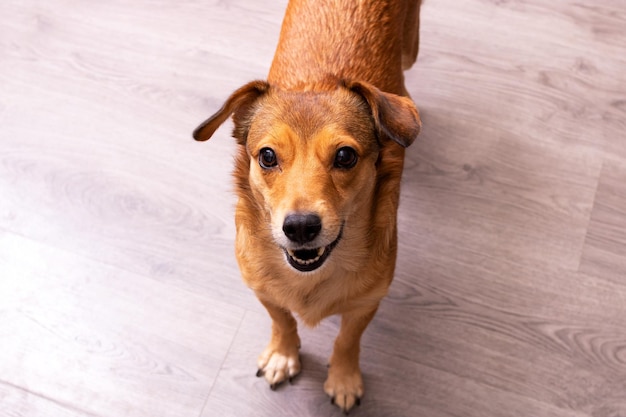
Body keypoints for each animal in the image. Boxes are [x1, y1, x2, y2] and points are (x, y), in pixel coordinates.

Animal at [193, 0, 422, 410]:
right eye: (267, 156)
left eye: (345, 156)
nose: (300, 227)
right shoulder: (263, 290)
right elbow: (282, 320)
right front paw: (283, 355)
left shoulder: (366, 303)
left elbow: (347, 340)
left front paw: (344, 379)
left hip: (411, 49)